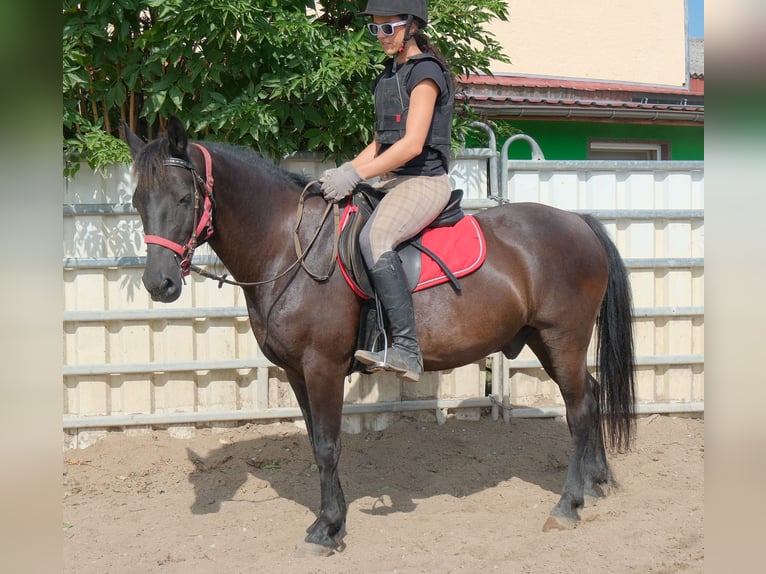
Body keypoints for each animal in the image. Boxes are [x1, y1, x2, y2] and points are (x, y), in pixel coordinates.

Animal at [122, 116, 635, 555]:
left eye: (184, 199)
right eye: (138, 202)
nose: (159, 283)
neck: (289, 246)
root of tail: (578, 221)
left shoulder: (323, 367)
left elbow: (329, 446)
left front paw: (326, 530)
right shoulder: (296, 373)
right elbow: (317, 442)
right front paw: (332, 521)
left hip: (561, 339)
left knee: (579, 409)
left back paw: (568, 505)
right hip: (543, 341)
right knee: (590, 396)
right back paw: (596, 482)